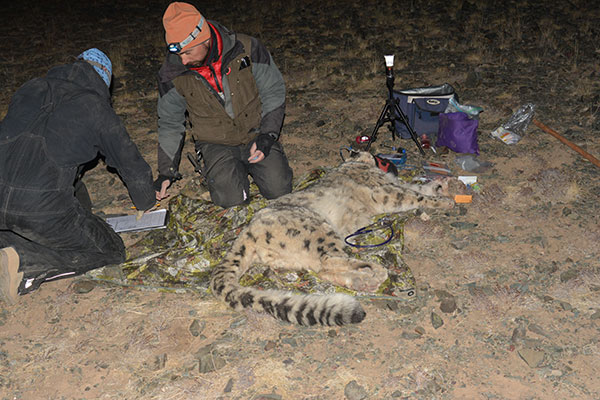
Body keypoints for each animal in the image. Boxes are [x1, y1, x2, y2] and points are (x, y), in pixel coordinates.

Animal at [209, 150, 452, 324]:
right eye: (379, 155)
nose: (389, 162)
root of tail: (248, 231)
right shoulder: (386, 191)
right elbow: (413, 194)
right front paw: (443, 201)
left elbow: (415, 188)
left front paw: (439, 185)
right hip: (318, 229)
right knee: (330, 260)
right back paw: (376, 270)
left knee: (323, 270)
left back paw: (363, 281)